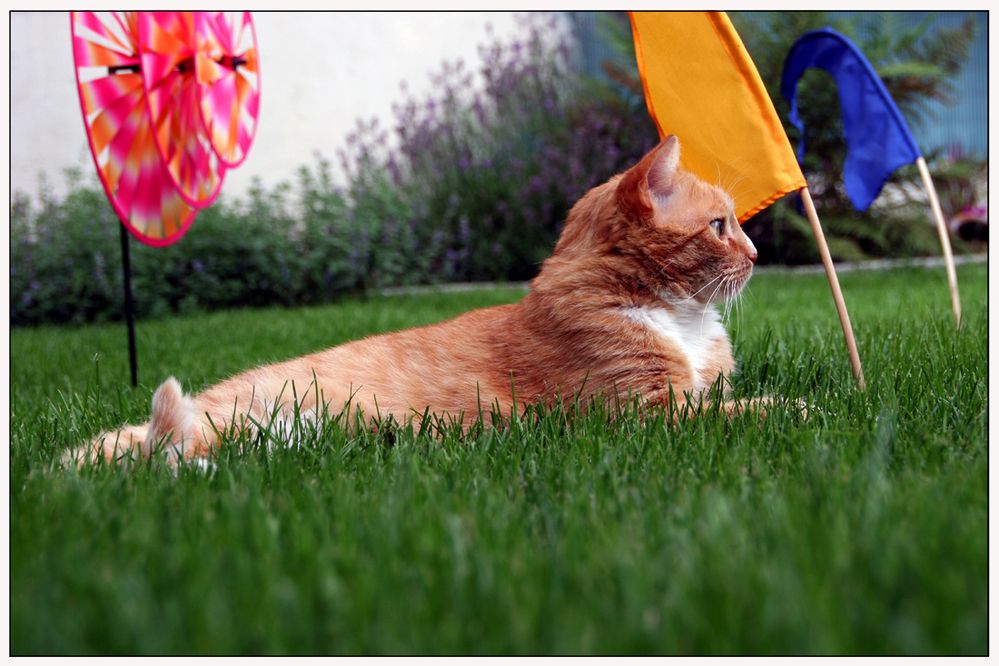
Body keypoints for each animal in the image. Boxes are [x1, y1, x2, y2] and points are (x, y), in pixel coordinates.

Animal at [66, 136, 760, 462]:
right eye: (720, 226)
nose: (757, 254)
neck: (683, 320)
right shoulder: (649, 415)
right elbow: (755, 410)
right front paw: (783, 409)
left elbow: (736, 398)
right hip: (233, 422)